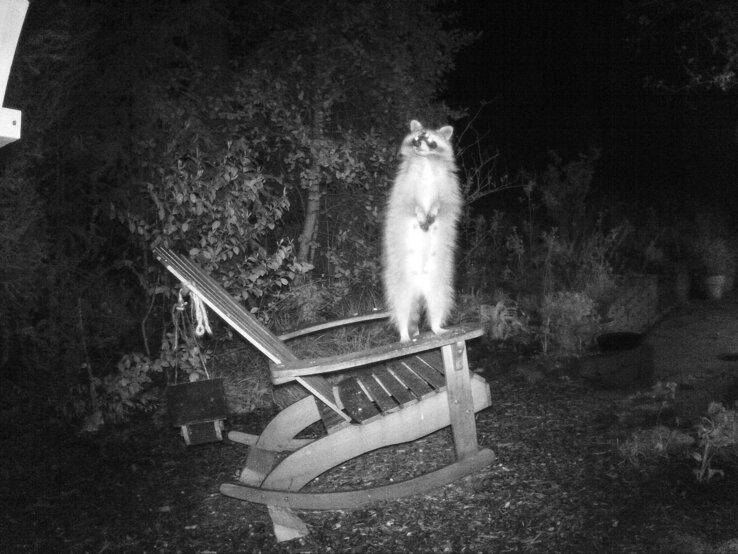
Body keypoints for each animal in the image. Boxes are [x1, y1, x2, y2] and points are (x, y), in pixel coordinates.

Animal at [380, 118, 460, 338]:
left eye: (429, 140)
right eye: (416, 138)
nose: (417, 145)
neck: (426, 161)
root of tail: (419, 288)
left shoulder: (448, 186)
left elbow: (443, 202)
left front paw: (433, 209)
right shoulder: (403, 185)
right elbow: (409, 202)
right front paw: (419, 211)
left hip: (440, 282)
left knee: (438, 303)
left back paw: (436, 326)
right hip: (398, 280)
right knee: (401, 306)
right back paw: (403, 333)